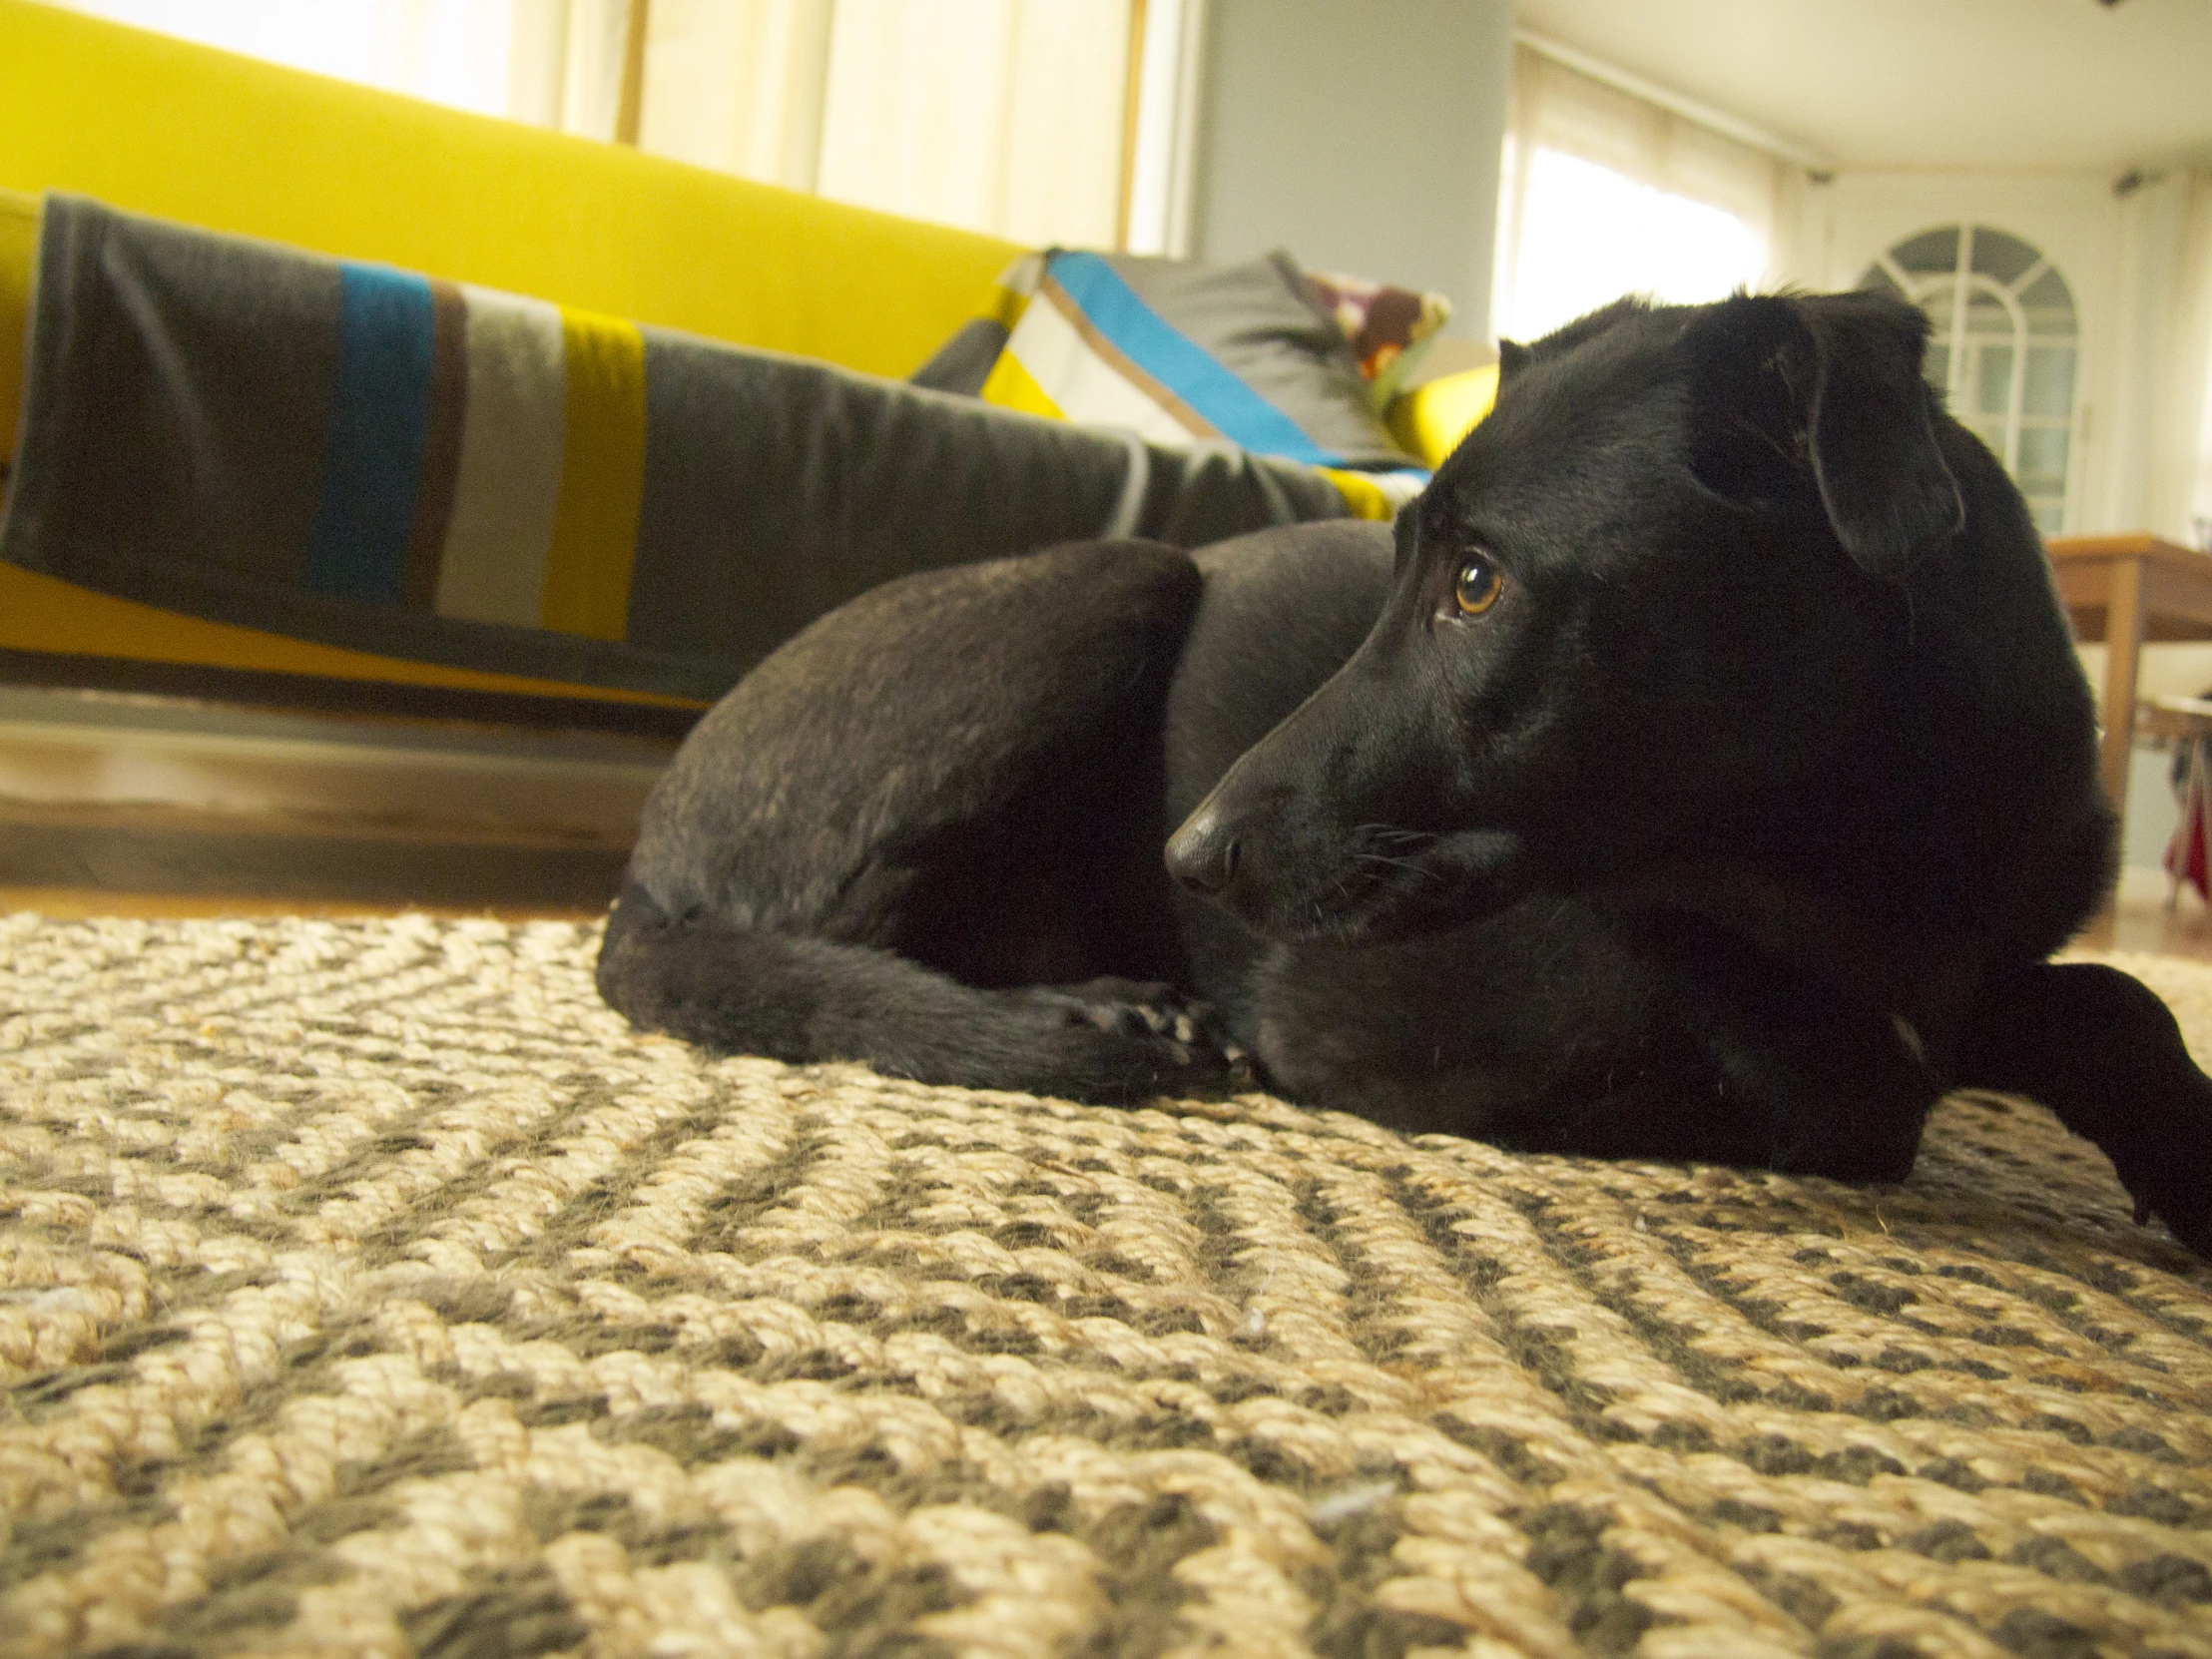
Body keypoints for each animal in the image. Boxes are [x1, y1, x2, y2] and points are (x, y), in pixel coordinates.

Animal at [597, 291, 2212, 1256]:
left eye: (1478, 585)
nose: (1190, 859)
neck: (1865, 863)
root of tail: (638, 877)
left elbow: (2112, 1001)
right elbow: (1856, 1082)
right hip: (1119, 577)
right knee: (841, 954)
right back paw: (1091, 1008)